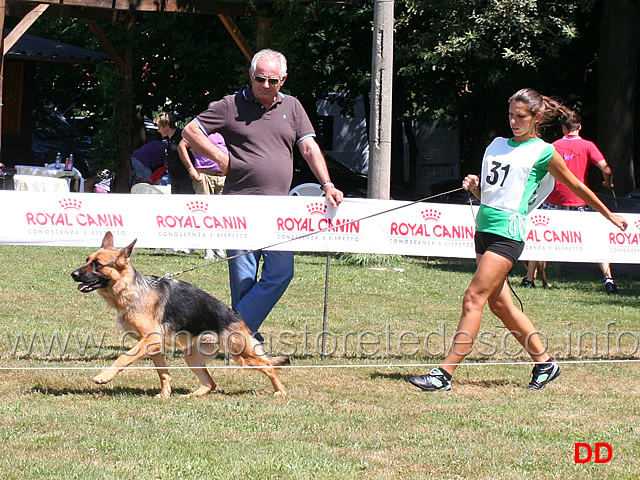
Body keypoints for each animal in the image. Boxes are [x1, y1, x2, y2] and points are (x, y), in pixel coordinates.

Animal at [72, 232, 288, 398]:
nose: (73, 274)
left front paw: (104, 376)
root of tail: (237, 316)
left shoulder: (150, 340)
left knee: (268, 365)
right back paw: (192, 396)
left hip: (241, 354)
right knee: (210, 383)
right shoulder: (153, 346)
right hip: (192, 357)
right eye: (87, 260)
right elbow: (163, 373)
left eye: (97, 265)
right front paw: (165, 394)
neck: (131, 290)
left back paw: (281, 391)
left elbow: (124, 357)